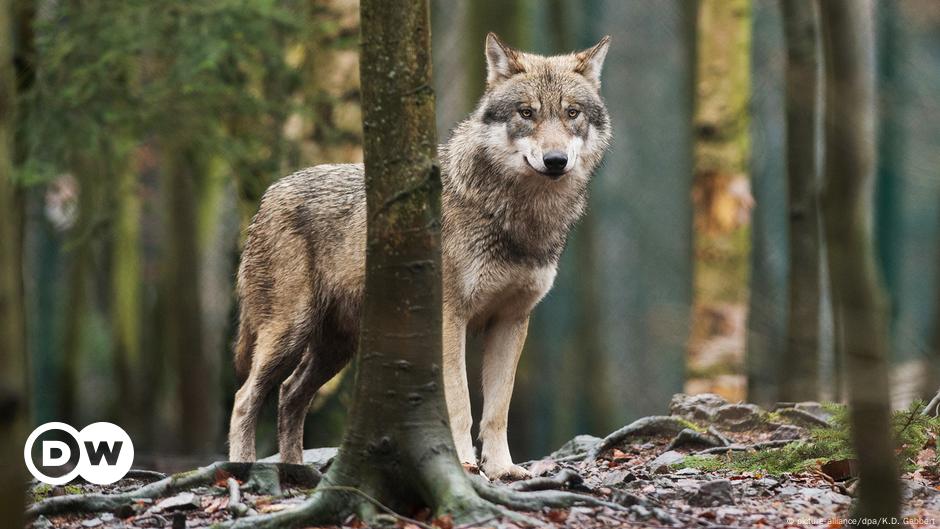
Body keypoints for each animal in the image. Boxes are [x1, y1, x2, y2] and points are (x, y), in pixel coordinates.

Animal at [226, 32, 608, 478]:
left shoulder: (511, 321)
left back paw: (296, 471)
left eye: (572, 113)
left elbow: (497, 410)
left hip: (336, 348)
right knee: (245, 397)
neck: (519, 217)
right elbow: (460, 403)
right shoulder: (449, 317)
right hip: (289, 333)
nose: (555, 160)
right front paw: (463, 463)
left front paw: (502, 469)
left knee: (289, 395)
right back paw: (243, 469)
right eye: (526, 113)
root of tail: (268, 194)